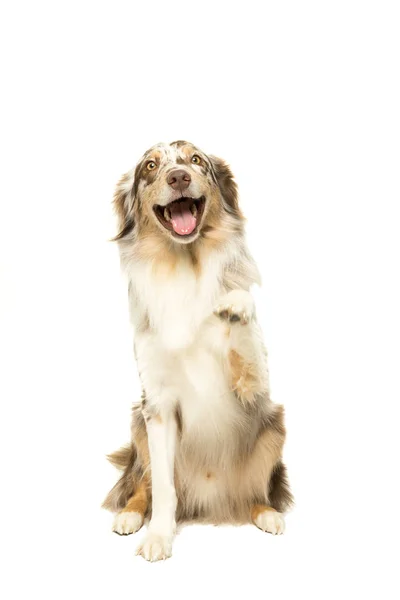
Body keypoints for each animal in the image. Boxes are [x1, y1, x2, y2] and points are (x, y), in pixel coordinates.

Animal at [101, 142, 292, 564]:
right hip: (137, 423)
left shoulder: (254, 387)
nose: (178, 177)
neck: (183, 265)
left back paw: (266, 513)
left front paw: (235, 304)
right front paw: (159, 536)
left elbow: (242, 324)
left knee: (257, 490)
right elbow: (162, 486)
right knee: (142, 483)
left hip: (273, 425)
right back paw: (129, 515)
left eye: (196, 160)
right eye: (150, 166)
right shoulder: (156, 403)